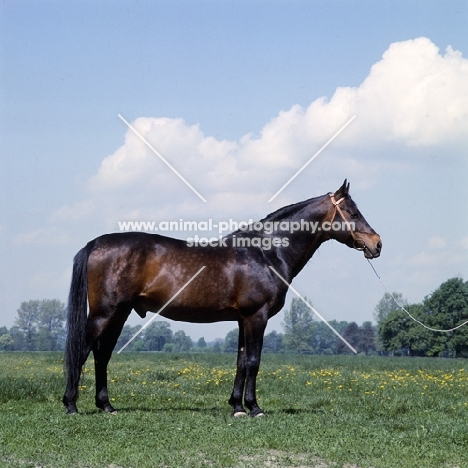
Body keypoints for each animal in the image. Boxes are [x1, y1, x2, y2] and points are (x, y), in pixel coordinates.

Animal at [64, 180, 382, 416]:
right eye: (353, 212)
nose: (377, 244)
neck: (266, 252)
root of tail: (96, 243)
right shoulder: (256, 317)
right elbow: (253, 360)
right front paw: (254, 408)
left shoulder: (243, 320)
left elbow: (241, 361)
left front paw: (237, 406)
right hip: (105, 313)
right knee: (82, 350)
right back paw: (71, 405)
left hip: (119, 313)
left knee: (101, 354)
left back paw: (106, 405)